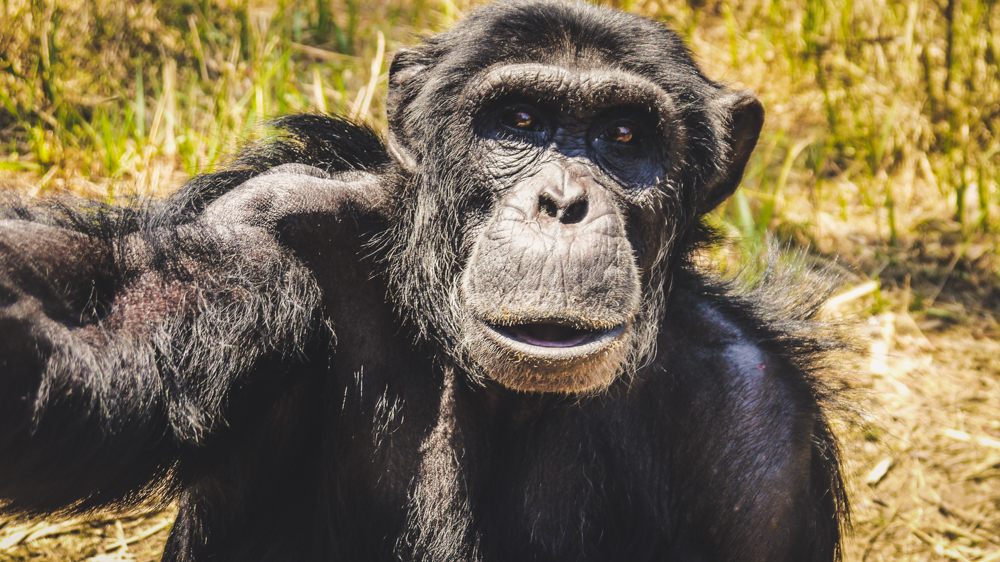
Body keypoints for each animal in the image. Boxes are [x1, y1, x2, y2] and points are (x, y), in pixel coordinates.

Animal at [0, 1, 844, 560]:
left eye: (626, 136)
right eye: (520, 122)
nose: (564, 202)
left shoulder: (760, 440)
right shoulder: (262, 227)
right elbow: (102, 316)